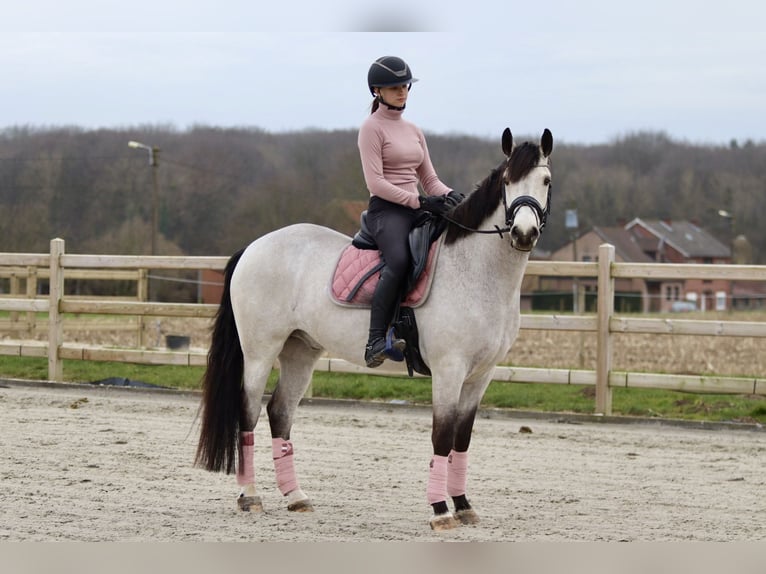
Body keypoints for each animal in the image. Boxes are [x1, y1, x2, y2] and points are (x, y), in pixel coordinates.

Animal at [195, 127, 556, 532]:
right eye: (507, 182)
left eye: (546, 181)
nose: (523, 233)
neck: (476, 272)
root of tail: (254, 246)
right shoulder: (449, 370)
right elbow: (441, 437)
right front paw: (440, 511)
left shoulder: (481, 375)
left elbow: (461, 440)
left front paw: (463, 505)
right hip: (260, 351)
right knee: (249, 412)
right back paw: (250, 496)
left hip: (300, 351)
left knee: (280, 413)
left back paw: (296, 497)